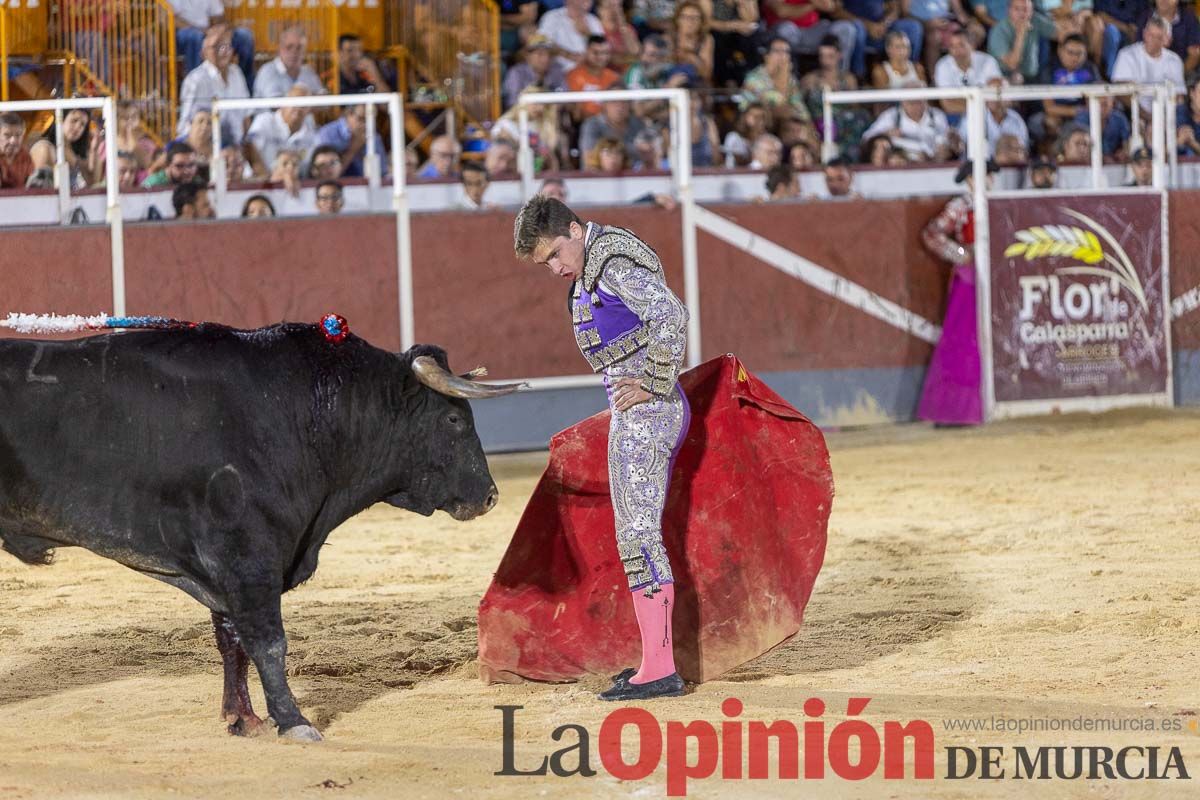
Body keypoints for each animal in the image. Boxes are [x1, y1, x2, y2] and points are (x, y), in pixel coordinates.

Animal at [1, 321, 525, 743]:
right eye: (453, 419)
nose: (490, 496)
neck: (307, 413)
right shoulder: (248, 556)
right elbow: (269, 642)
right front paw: (294, 721)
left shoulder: (226, 571)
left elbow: (233, 640)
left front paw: (245, 720)